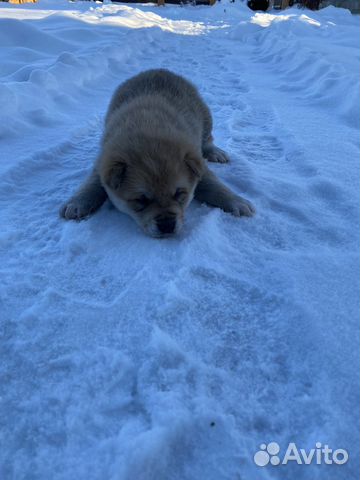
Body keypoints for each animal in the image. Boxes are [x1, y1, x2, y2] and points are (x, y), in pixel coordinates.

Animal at [59, 68, 256, 237]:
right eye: (141, 200)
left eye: (179, 194)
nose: (167, 225)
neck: (148, 129)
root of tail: (158, 69)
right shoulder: (103, 161)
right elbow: (92, 183)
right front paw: (76, 203)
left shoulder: (196, 162)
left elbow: (214, 184)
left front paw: (238, 202)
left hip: (205, 116)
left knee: (208, 139)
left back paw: (215, 152)